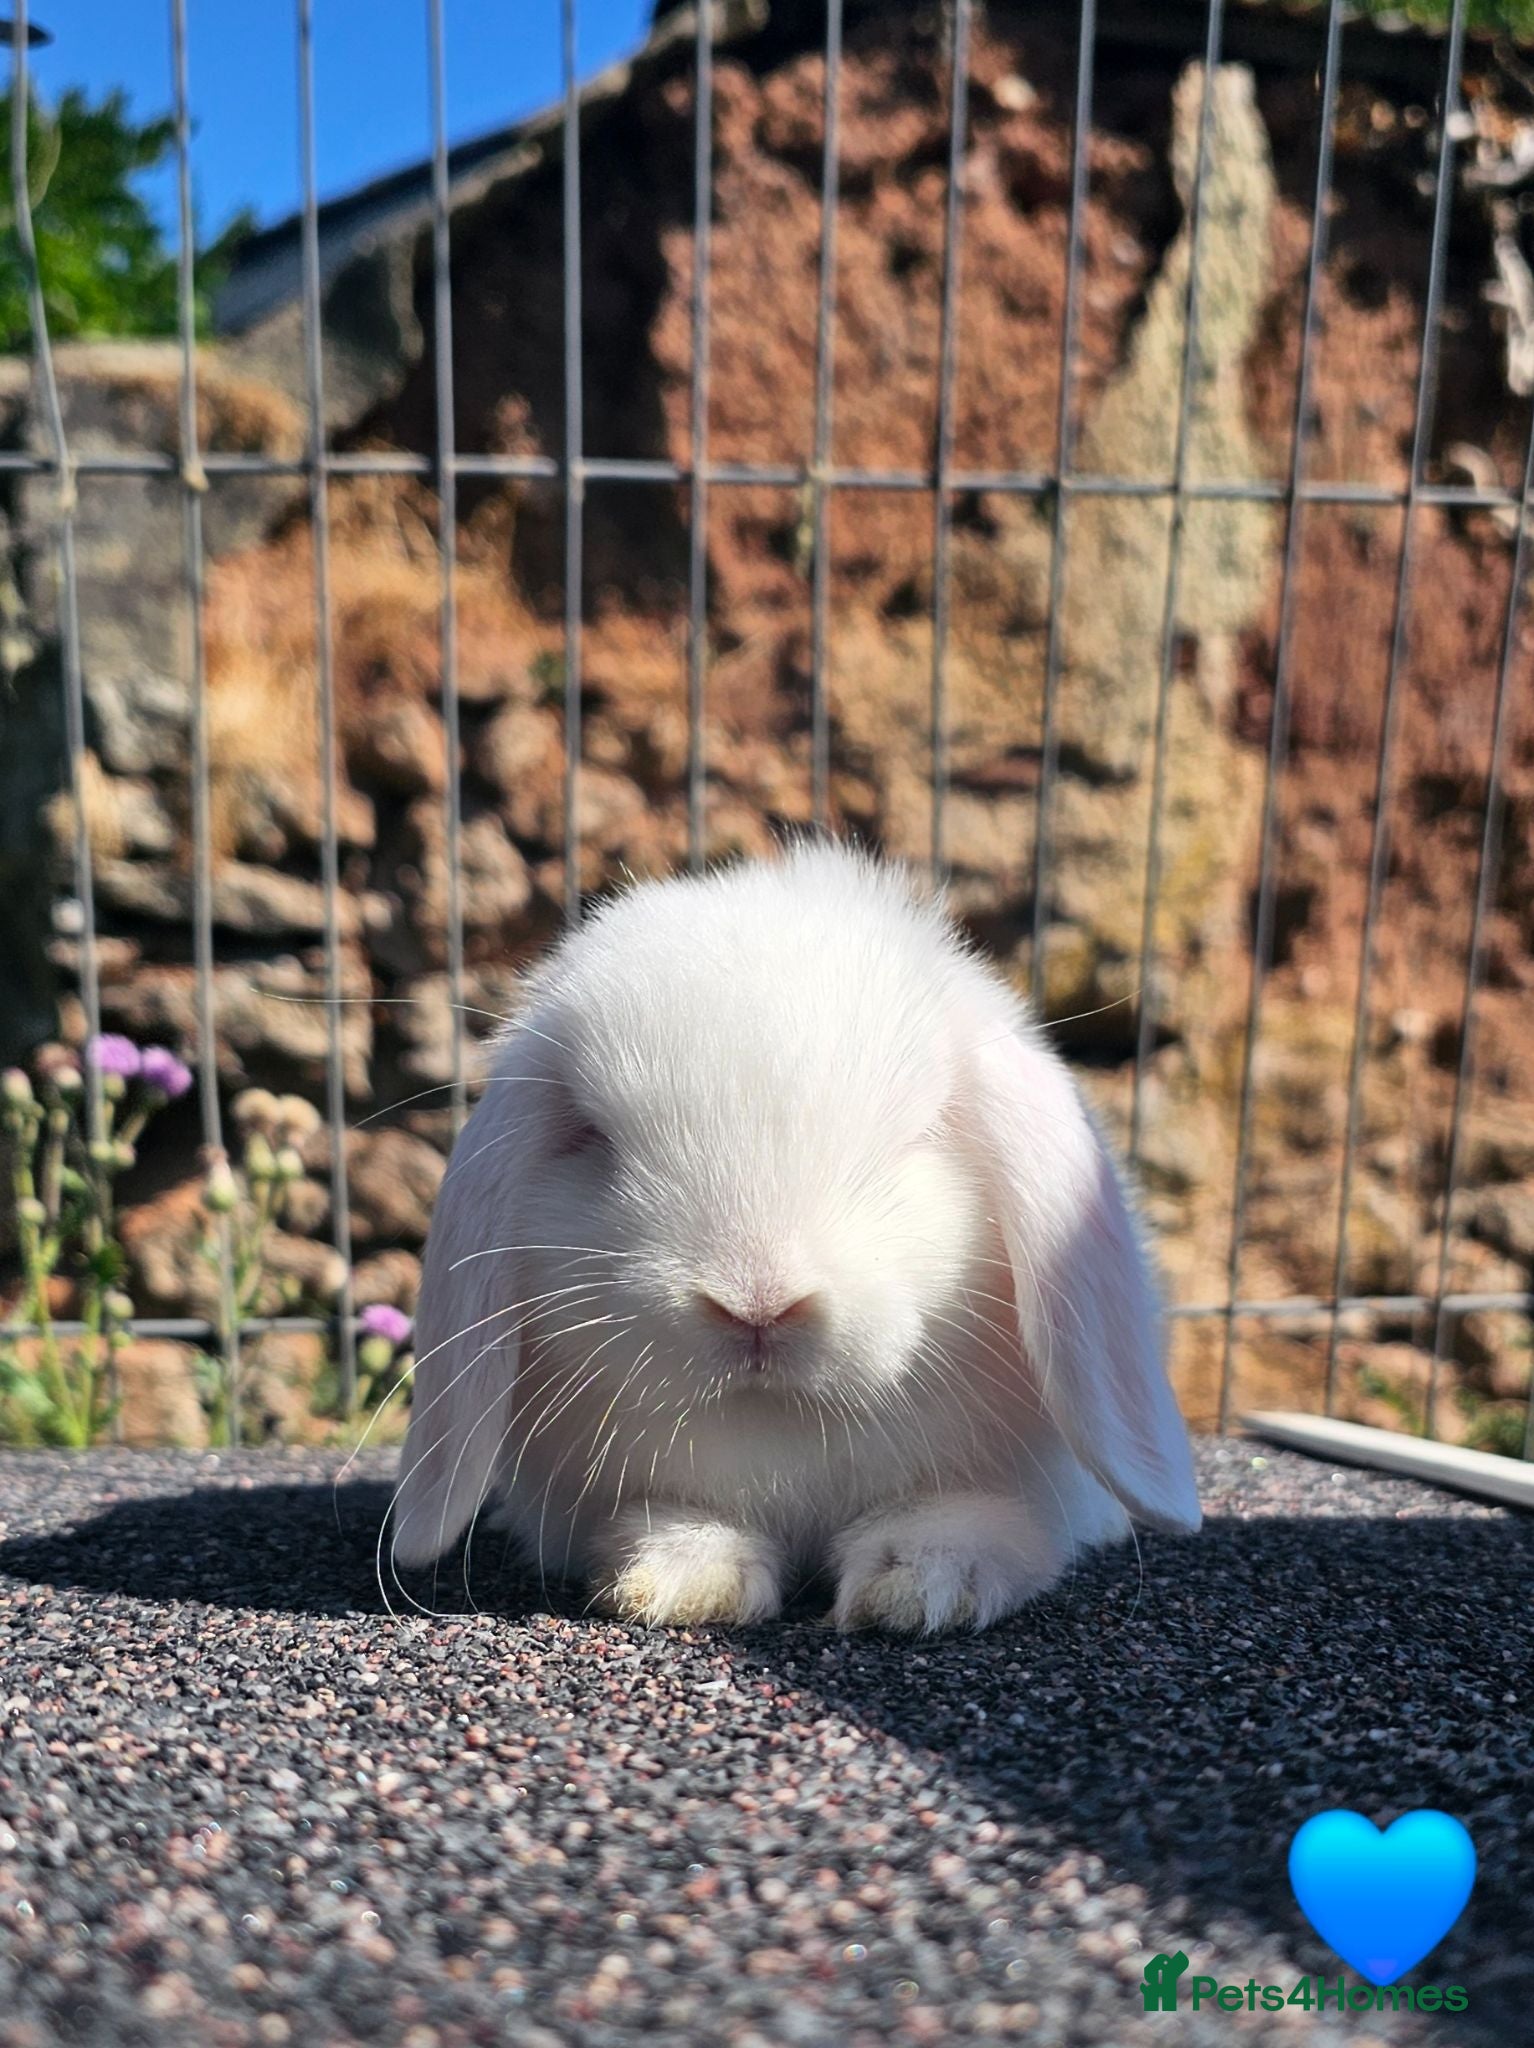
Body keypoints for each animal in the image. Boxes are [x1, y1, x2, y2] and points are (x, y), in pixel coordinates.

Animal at [390, 839, 1201, 1633]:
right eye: (595, 1137)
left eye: (920, 1134)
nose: (757, 1305)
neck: (786, 1433)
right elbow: (676, 1520)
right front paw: (680, 1582)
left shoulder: (1016, 1484)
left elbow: (970, 1518)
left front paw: (920, 1587)